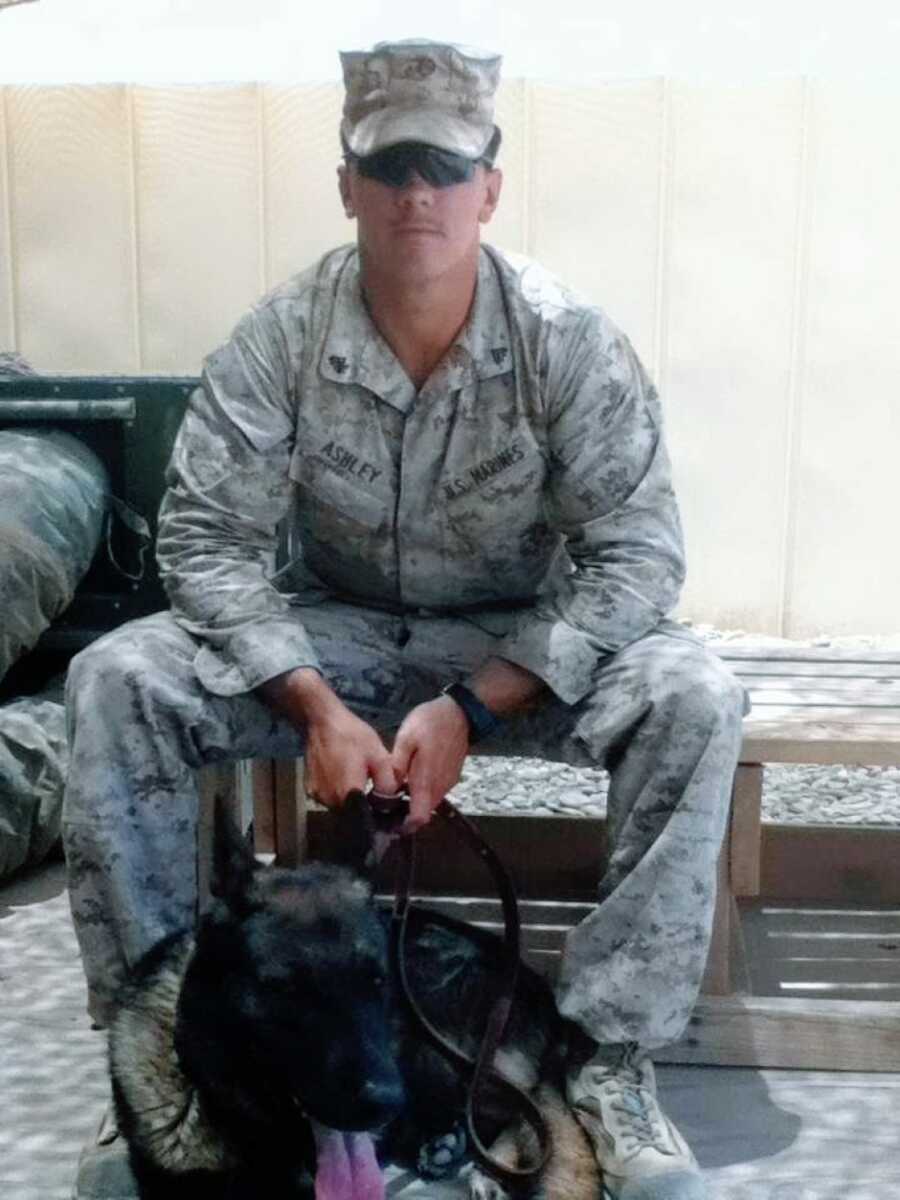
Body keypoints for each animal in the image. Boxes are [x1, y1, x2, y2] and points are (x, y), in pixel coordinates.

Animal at [109, 796, 602, 1200]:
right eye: (285, 989)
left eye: (378, 981)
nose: (383, 1102)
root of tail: (530, 979)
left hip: (437, 1046)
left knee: (524, 1111)